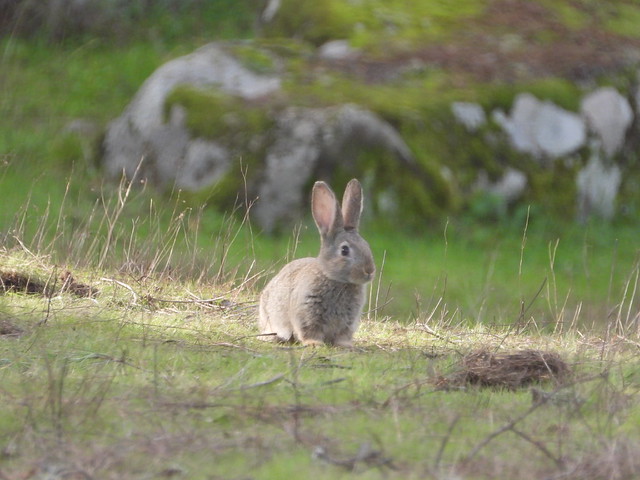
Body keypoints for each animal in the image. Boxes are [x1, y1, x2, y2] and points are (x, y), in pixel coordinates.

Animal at [258, 178, 376, 347]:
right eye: (344, 250)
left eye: (366, 245)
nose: (369, 271)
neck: (336, 279)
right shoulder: (307, 312)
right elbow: (309, 330)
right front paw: (314, 343)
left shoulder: (348, 321)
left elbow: (343, 335)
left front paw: (346, 346)